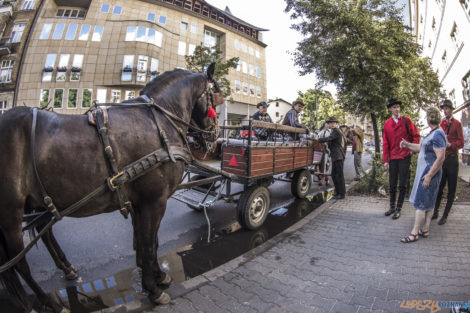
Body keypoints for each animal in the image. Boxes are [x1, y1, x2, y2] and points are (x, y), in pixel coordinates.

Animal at [0, 62, 223, 310]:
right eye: (215, 98)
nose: (214, 135)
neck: (158, 122)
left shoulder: (141, 202)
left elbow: (149, 241)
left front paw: (157, 275)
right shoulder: (154, 201)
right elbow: (148, 243)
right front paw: (153, 288)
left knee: (41, 236)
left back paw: (65, 270)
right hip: (10, 212)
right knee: (17, 263)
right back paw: (48, 302)